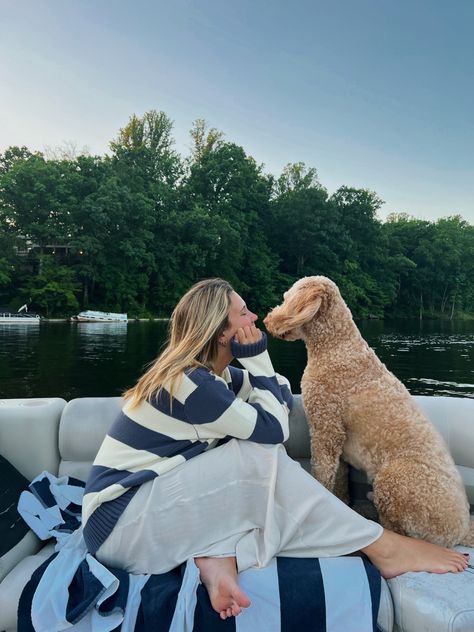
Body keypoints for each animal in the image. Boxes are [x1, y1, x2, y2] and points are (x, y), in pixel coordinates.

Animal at [264, 276, 472, 548]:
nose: (266, 320)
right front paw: (342, 506)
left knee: (398, 530)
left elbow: (322, 474)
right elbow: (339, 483)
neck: (336, 346)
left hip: (394, 478)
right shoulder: (338, 443)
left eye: (287, 298)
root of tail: (462, 531)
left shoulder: (325, 429)